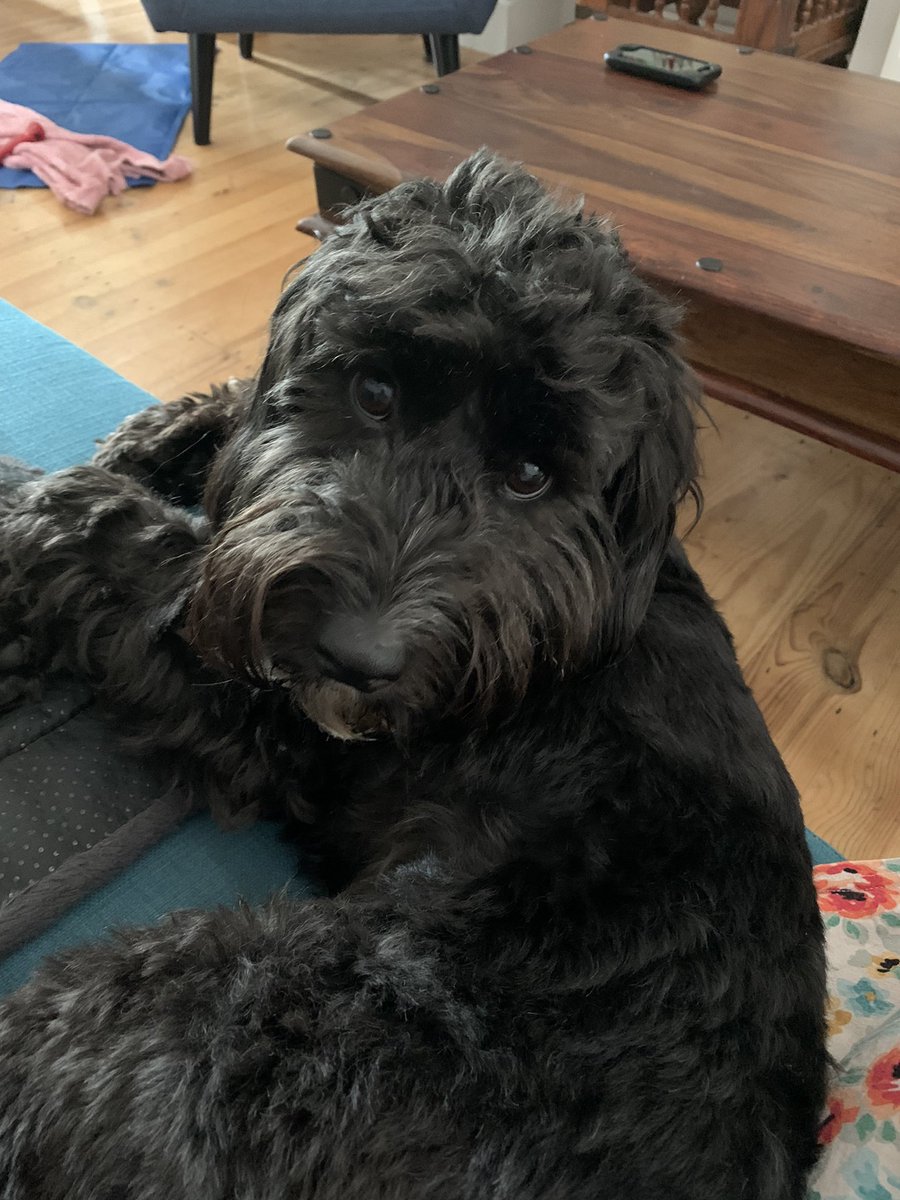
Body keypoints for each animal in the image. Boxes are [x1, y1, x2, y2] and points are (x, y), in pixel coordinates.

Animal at [0, 154, 830, 1195]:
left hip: (179, 1001)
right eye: (374, 393)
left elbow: (130, 546)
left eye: (529, 476)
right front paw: (170, 433)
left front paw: (35, 498)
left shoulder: (277, 724)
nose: (357, 658)